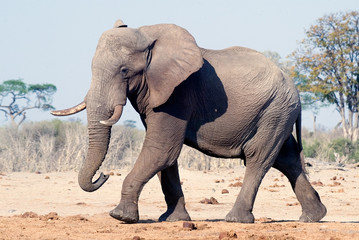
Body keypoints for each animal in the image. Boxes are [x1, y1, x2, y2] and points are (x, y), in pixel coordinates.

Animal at [52, 19, 328, 224]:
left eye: (124, 71)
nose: (104, 175)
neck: (148, 36)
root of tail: (294, 86)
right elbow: (166, 155)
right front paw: (172, 220)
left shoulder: (179, 93)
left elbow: (161, 148)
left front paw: (120, 216)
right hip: (278, 113)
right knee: (287, 158)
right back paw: (313, 217)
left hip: (274, 111)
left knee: (258, 157)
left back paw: (236, 220)